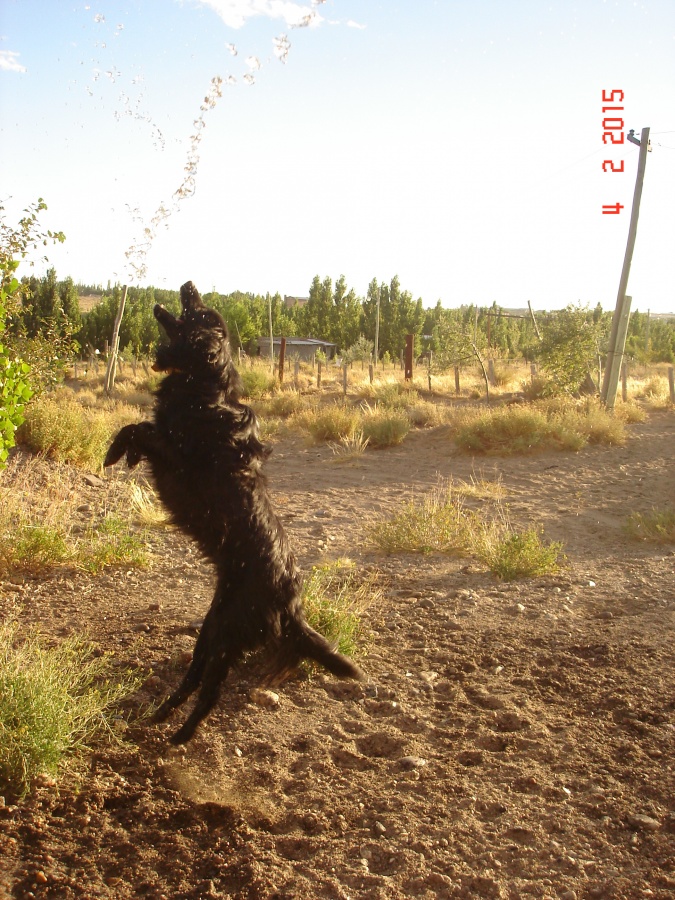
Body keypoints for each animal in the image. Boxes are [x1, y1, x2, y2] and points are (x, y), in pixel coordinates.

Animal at [104, 284, 364, 744]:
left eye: (201, 312)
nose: (189, 285)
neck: (203, 387)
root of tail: (291, 604)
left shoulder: (177, 459)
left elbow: (139, 428)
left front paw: (116, 453)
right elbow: (139, 428)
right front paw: (124, 454)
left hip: (228, 633)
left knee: (210, 693)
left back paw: (180, 736)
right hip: (211, 629)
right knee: (193, 679)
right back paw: (159, 716)